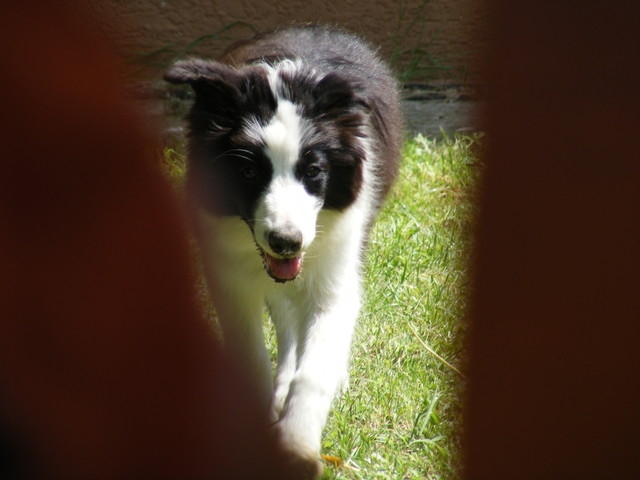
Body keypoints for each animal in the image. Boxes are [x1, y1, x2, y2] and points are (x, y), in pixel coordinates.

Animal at [165, 24, 402, 478]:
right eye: (247, 171)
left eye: (313, 172)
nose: (286, 241)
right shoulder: (231, 274)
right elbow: (251, 355)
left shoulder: (335, 267)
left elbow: (315, 367)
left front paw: (297, 447)